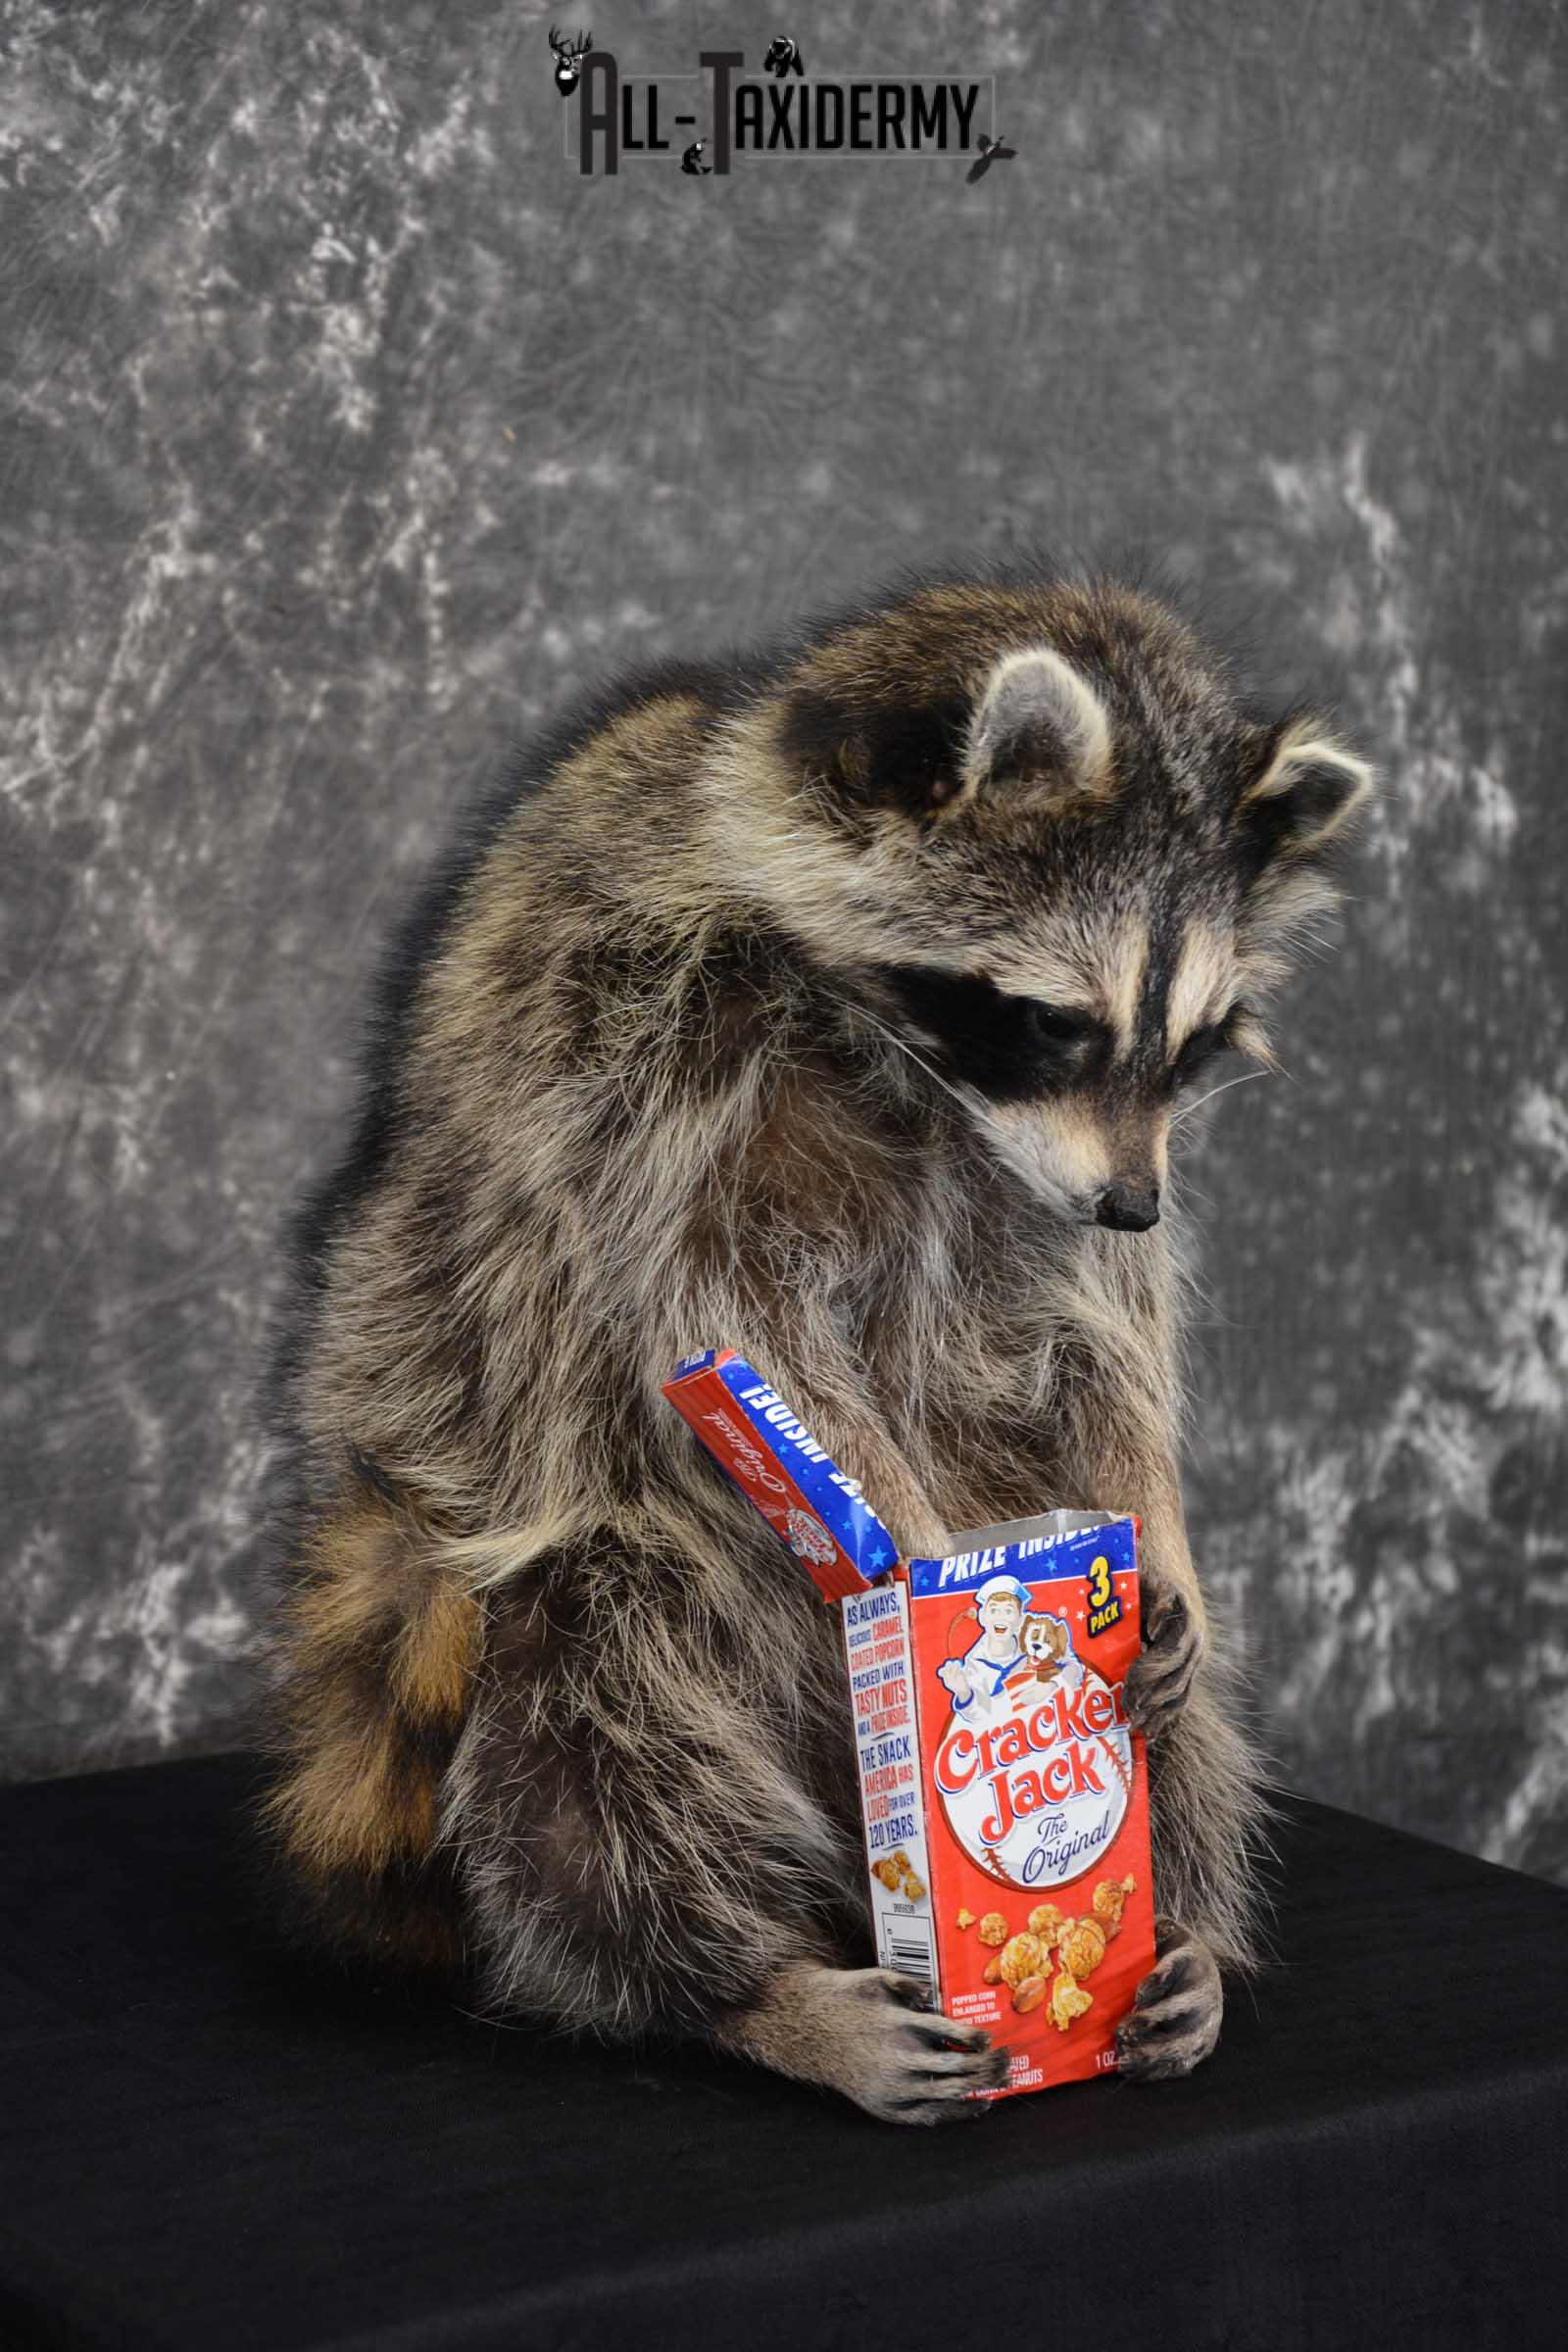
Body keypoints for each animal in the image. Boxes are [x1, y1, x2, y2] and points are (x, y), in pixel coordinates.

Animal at [258, 569, 1371, 2122]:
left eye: (1198, 1040)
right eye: (1051, 1020)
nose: (1133, 1202)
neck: (907, 1058)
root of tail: (858, 1878)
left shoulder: (1049, 1188)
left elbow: (1102, 1334)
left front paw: (1156, 1530)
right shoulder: (641, 1059)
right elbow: (727, 1311)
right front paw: (923, 1564)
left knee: (1190, 1738)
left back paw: (1187, 1937)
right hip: (517, 1537)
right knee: (596, 1711)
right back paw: (741, 1987)